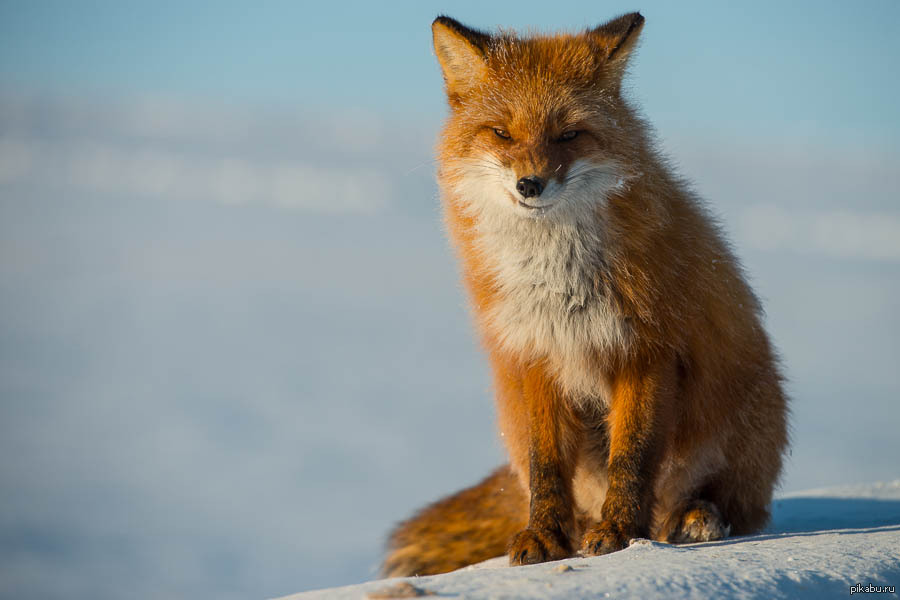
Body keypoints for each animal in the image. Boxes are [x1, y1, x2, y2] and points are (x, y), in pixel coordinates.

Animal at [384, 12, 792, 576]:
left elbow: (632, 458)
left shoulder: (645, 351)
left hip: (742, 427)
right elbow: (548, 468)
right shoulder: (534, 357)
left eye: (569, 134)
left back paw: (694, 517)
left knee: (731, 506)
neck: (558, 282)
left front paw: (620, 534)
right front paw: (545, 536)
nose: (529, 185)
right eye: (501, 133)